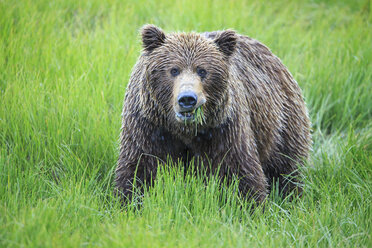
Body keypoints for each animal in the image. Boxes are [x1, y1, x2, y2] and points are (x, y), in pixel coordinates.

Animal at [115, 24, 312, 203]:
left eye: (202, 70)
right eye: (173, 70)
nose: (187, 98)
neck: (185, 130)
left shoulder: (224, 129)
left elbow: (240, 171)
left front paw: (251, 206)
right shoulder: (149, 127)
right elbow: (139, 168)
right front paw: (130, 201)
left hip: (282, 124)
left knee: (286, 168)